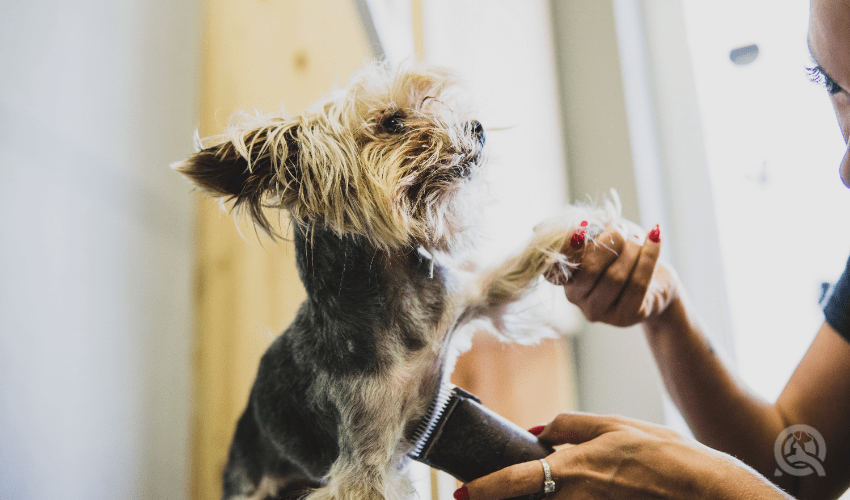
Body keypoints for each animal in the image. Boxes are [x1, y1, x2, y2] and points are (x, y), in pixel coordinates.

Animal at [174, 62, 616, 500]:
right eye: (392, 121)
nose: (475, 126)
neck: (398, 300)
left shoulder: (468, 300)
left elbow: (514, 267)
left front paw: (584, 226)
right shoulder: (363, 464)